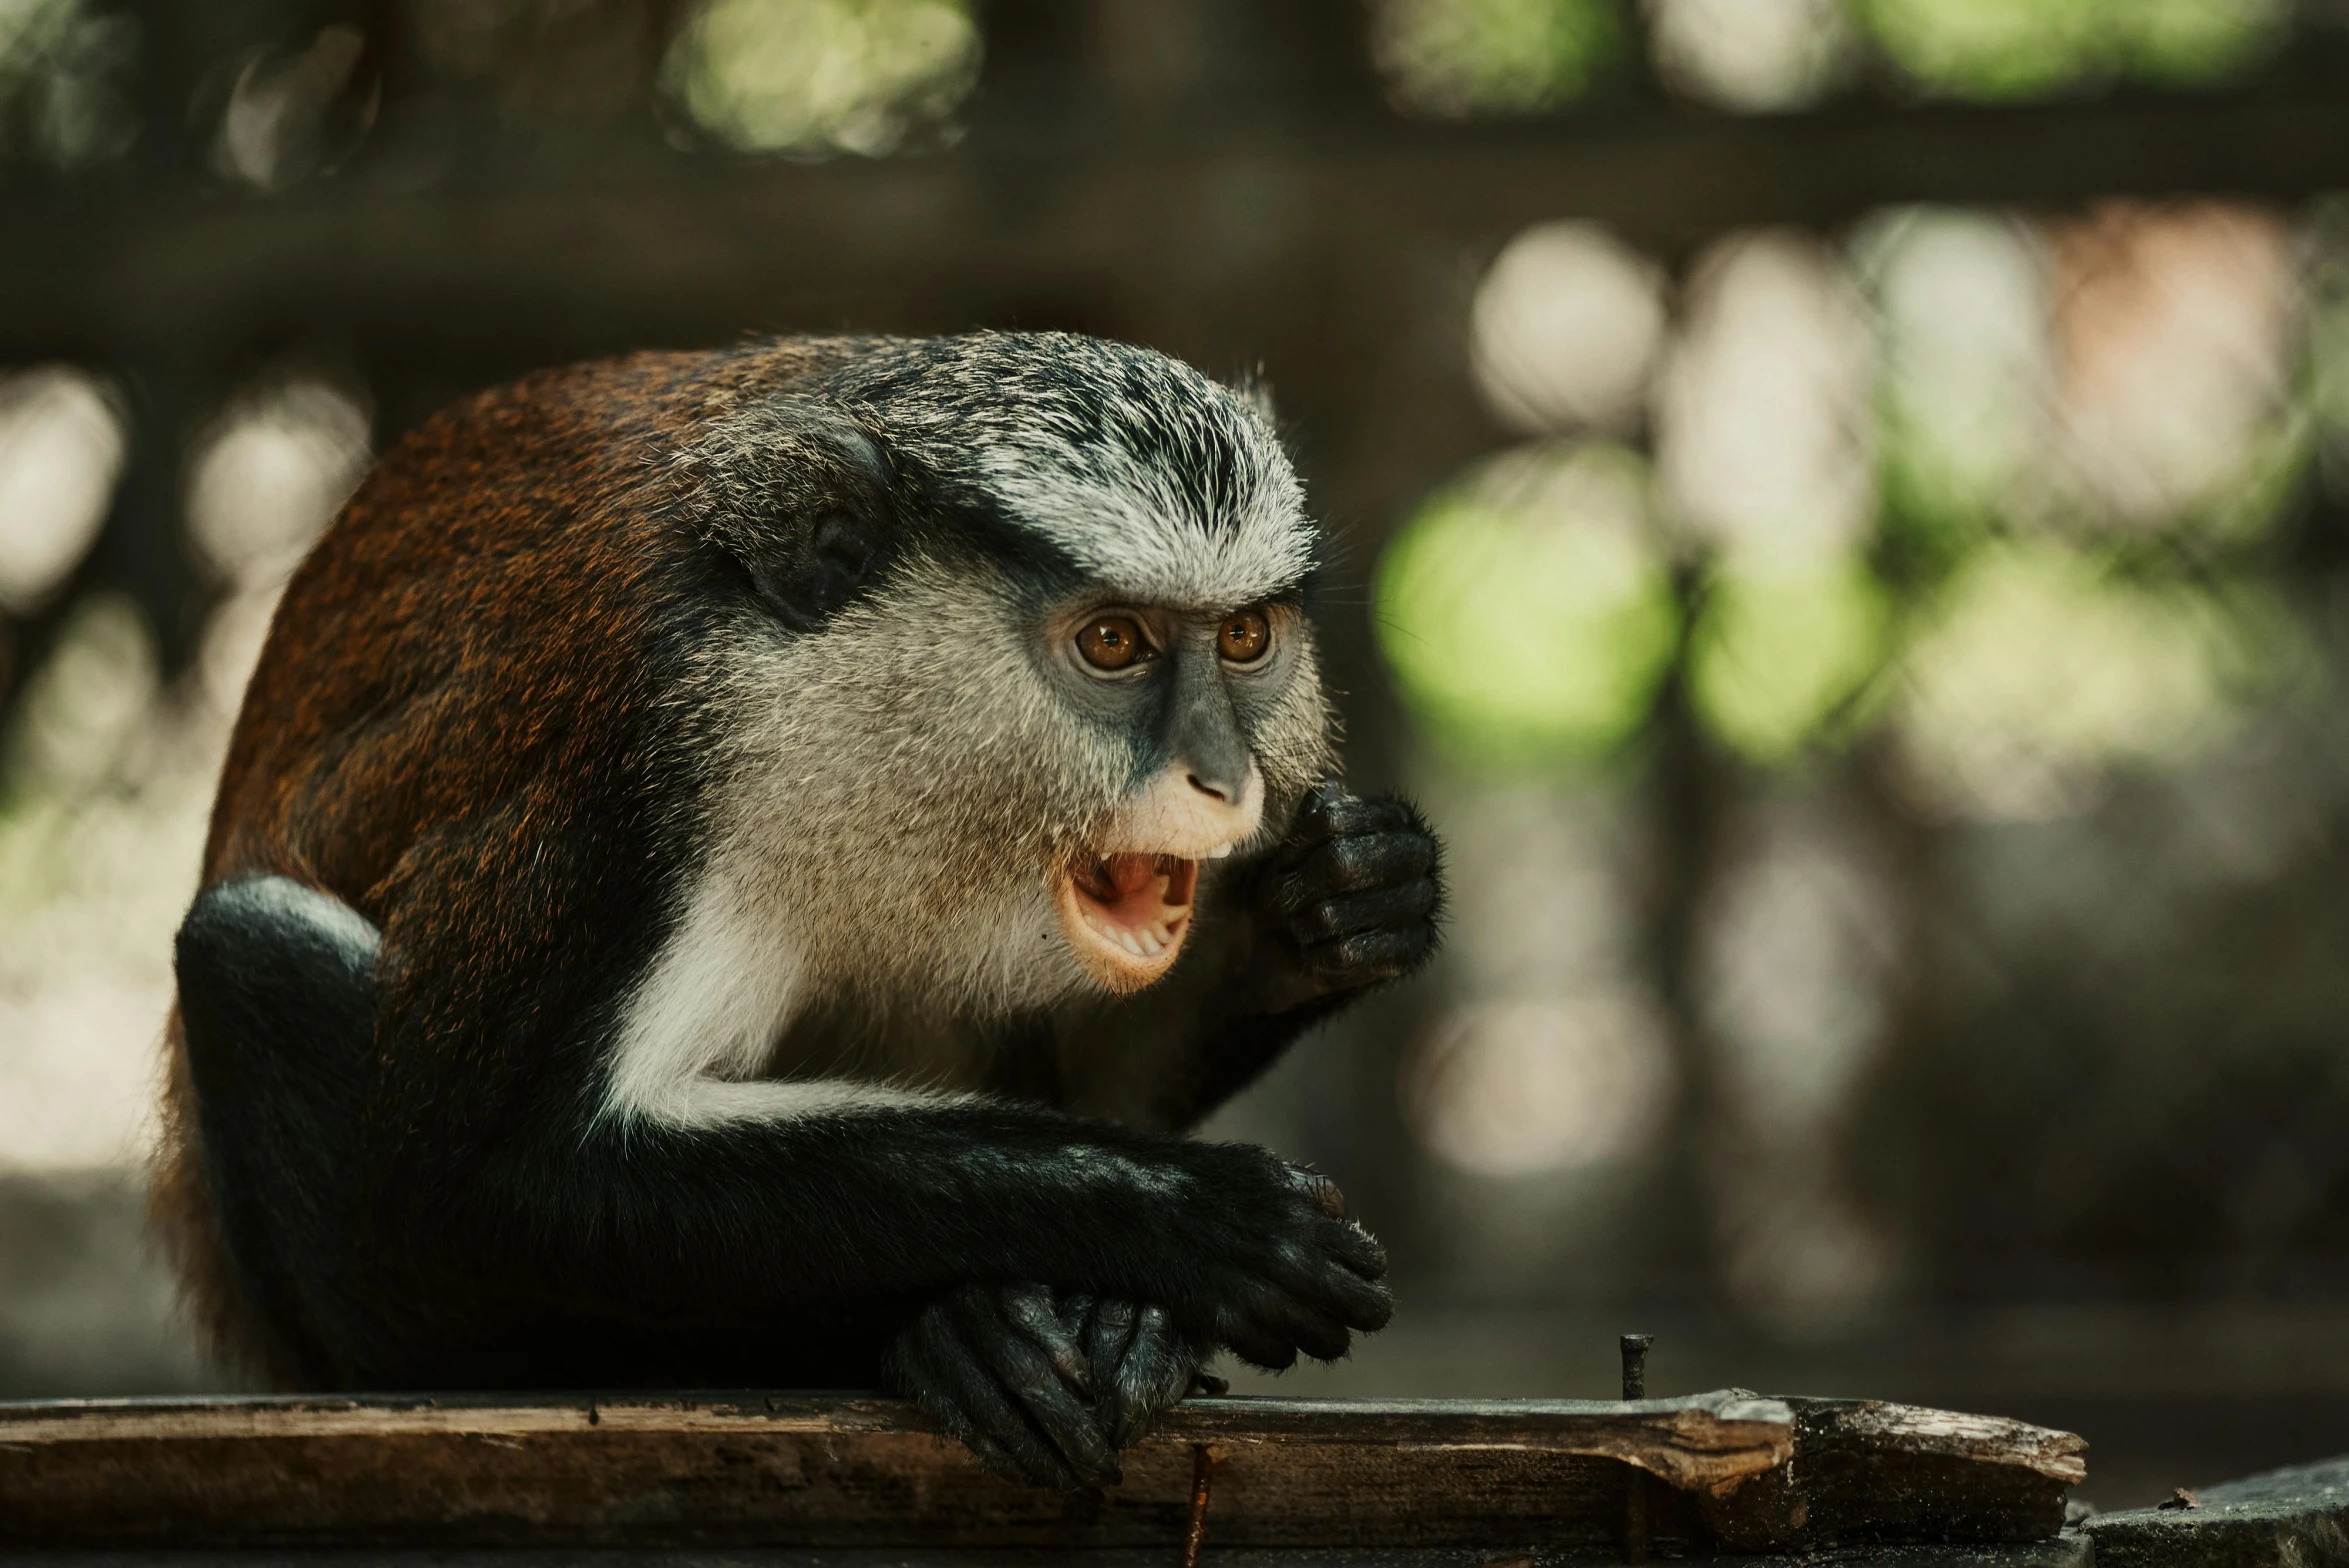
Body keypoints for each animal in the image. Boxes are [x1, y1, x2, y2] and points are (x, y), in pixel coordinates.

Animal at [156, 328, 1437, 1483]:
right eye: (1114, 641)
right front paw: (1199, 1220)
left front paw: (1337, 906)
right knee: (242, 949)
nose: (1224, 779)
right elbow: (491, 1177)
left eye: (1245, 636)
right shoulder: (626, 766)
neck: (816, 687)